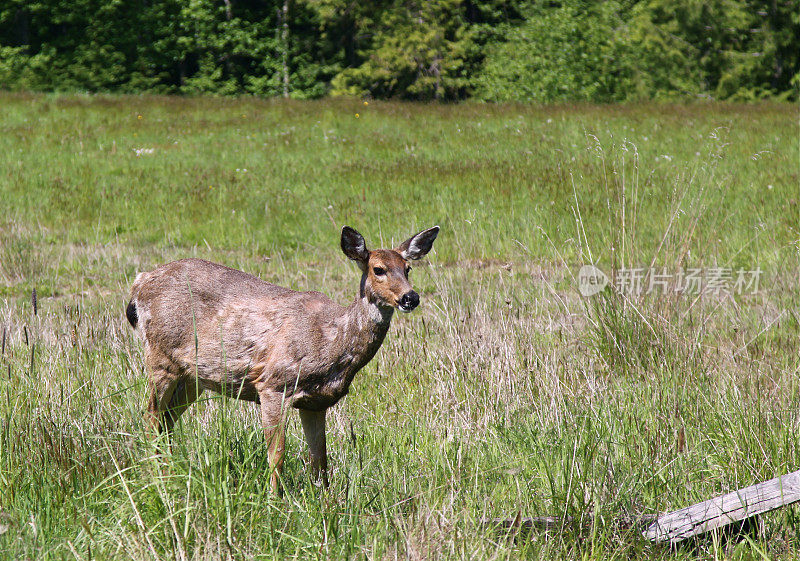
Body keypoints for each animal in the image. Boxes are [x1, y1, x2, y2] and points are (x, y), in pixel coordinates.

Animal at [126, 225, 438, 492]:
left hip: (193, 376)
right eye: (378, 269)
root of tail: (139, 283)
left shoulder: (316, 402)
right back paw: (155, 476)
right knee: (151, 417)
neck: (330, 342)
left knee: (166, 421)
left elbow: (320, 460)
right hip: (160, 356)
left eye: (408, 268)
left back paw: (168, 472)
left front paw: (324, 501)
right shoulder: (274, 383)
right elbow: (277, 453)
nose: (410, 298)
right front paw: (274, 499)